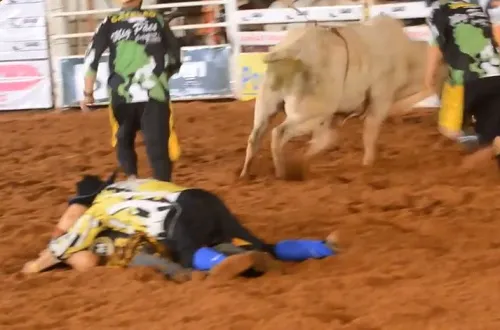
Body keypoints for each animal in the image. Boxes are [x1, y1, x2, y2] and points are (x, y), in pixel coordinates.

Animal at [240, 15, 444, 179]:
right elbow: (370, 130)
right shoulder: (381, 99)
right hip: (310, 112)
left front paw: (307, 155)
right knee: (279, 133)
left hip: (267, 105)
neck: (409, 57)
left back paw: (245, 173)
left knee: (255, 136)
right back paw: (282, 172)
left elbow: (326, 139)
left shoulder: (334, 117)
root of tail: (291, 48)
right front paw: (368, 162)